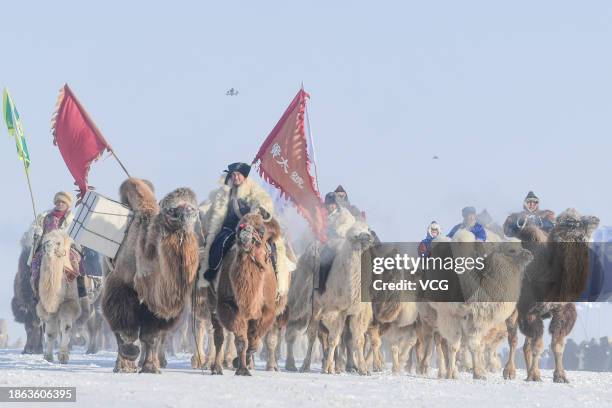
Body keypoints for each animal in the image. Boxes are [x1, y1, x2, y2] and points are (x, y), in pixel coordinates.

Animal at [35, 230, 81, 364]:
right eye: (45, 240)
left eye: (58, 243)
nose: (48, 246)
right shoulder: (49, 307)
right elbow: (51, 332)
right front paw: (48, 357)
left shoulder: (69, 302)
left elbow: (66, 327)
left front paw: (63, 357)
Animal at [102, 178, 198, 372]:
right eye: (170, 210)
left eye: (193, 207)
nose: (185, 216)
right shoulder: (121, 287)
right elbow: (126, 331)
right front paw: (127, 361)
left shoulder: (156, 305)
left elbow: (151, 337)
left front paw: (151, 367)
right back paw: (122, 365)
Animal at [210, 214, 278, 376]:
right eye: (239, 226)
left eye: (261, 230)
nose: (246, 231)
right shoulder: (229, 305)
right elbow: (241, 340)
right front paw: (242, 369)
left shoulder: (267, 310)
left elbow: (253, 341)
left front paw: (242, 363)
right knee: (219, 336)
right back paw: (216, 368)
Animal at [504, 209, 600, 384]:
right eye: (570, 222)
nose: (594, 219)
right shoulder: (530, 311)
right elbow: (538, 345)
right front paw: (535, 375)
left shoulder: (562, 311)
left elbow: (557, 345)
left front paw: (560, 376)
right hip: (513, 310)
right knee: (513, 339)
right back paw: (509, 372)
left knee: (526, 345)